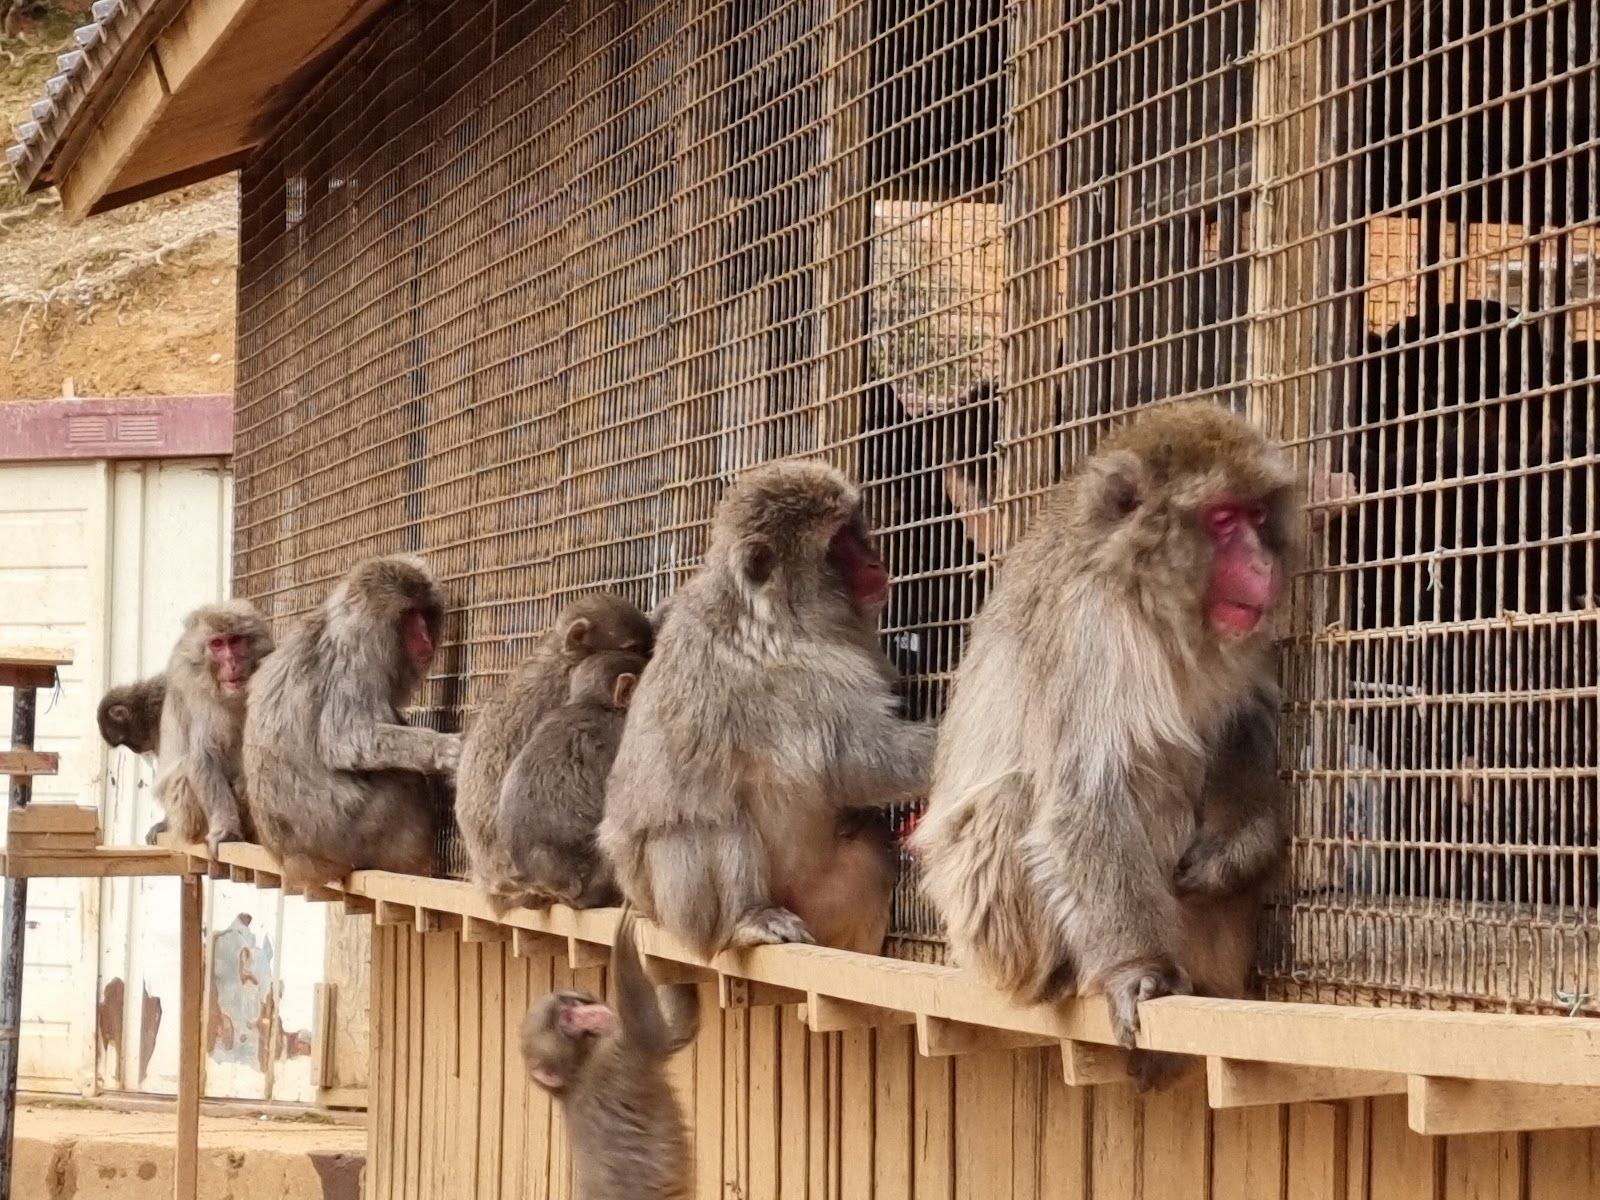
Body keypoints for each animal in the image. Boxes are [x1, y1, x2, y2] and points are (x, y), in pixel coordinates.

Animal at [151, 603, 274, 854]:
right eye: (217, 644)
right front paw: (226, 829)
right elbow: (204, 755)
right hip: (187, 823)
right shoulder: (194, 692)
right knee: (183, 772)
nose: (231, 662)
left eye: (235, 641)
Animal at [242, 555, 459, 887]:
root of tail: (296, 861)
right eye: (409, 615)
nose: (424, 638)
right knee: (400, 779)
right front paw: (441, 749)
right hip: (351, 834)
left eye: (424, 613)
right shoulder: (357, 660)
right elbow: (344, 739)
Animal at [521, 908, 698, 1200]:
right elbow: (655, 1034)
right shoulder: (616, 1060)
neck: (577, 1071)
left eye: (572, 1004)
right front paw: (623, 942)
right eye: (567, 1019)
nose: (593, 1013)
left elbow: (677, 1030)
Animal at [599, 460, 936, 959]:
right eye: (839, 544)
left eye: (855, 530)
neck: (777, 613)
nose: (875, 564)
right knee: (708, 814)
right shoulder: (799, 675)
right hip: (677, 907)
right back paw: (746, 918)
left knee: (871, 851)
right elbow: (859, 762)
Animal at [910, 401, 1299, 1089]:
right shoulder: (1087, 629)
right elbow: (1084, 799)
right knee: (1026, 799)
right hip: (993, 926)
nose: (1264, 565)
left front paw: (1239, 847)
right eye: (1223, 520)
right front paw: (1136, 969)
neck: (1144, 598)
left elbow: (1241, 719)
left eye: (1257, 515)